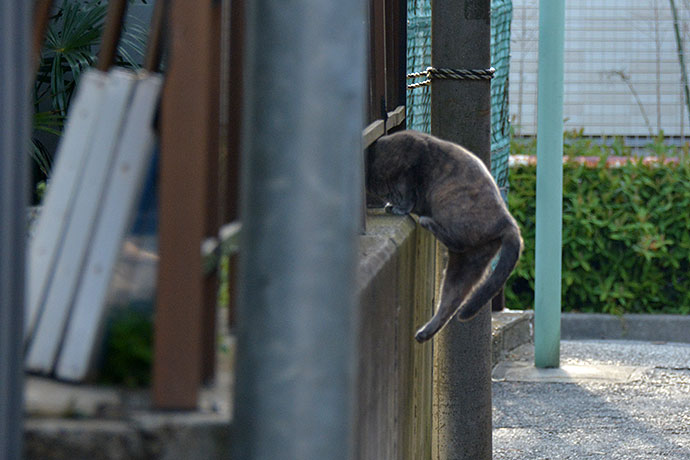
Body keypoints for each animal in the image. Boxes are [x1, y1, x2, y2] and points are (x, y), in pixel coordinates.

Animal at [366, 129, 520, 342]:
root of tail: (507, 221)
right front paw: (391, 205)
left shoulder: (411, 163)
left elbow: (408, 192)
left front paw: (399, 207)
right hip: (466, 265)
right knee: (451, 300)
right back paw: (424, 333)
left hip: (451, 207)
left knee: (456, 241)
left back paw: (426, 220)